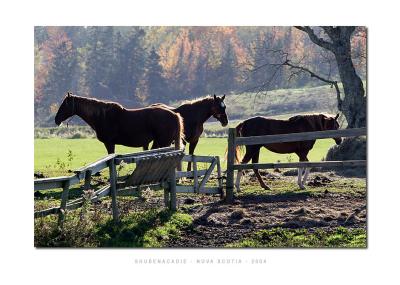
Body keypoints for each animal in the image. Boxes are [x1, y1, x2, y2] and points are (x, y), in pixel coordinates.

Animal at [54, 91, 184, 153]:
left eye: (64, 105)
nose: (56, 120)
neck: (102, 116)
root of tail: (174, 115)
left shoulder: (109, 143)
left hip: (163, 142)